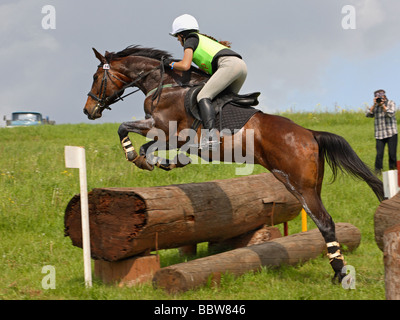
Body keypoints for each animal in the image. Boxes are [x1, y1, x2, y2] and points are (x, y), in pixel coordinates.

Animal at [82, 45, 384, 282]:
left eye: (96, 77)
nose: (88, 110)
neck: (165, 86)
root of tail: (310, 134)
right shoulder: (166, 135)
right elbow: (144, 143)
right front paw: (155, 161)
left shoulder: (169, 132)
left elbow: (126, 129)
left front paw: (138, 156)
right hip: (311, 185)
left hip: (300, 187)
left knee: (325, 222)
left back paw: (339, 272)